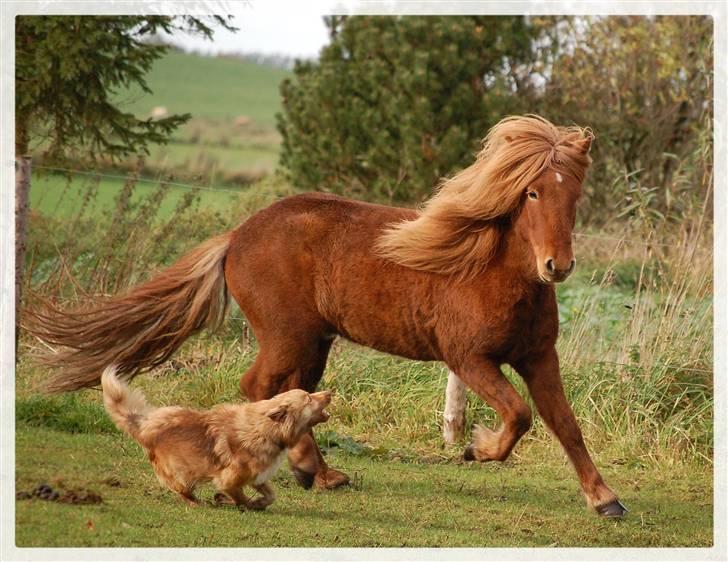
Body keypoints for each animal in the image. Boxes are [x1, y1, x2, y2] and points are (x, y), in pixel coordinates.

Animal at [100, 366, 332, 510]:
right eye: (308, 398)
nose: (329, 393)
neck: (266, 428)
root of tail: (145, 427)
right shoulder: (229, 479)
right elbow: (240, 498)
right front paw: (237, 503)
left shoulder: (257, 476)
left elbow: (270, 496)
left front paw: (256, 503)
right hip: (182, 473)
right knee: (181, 490)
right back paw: (194, 502)